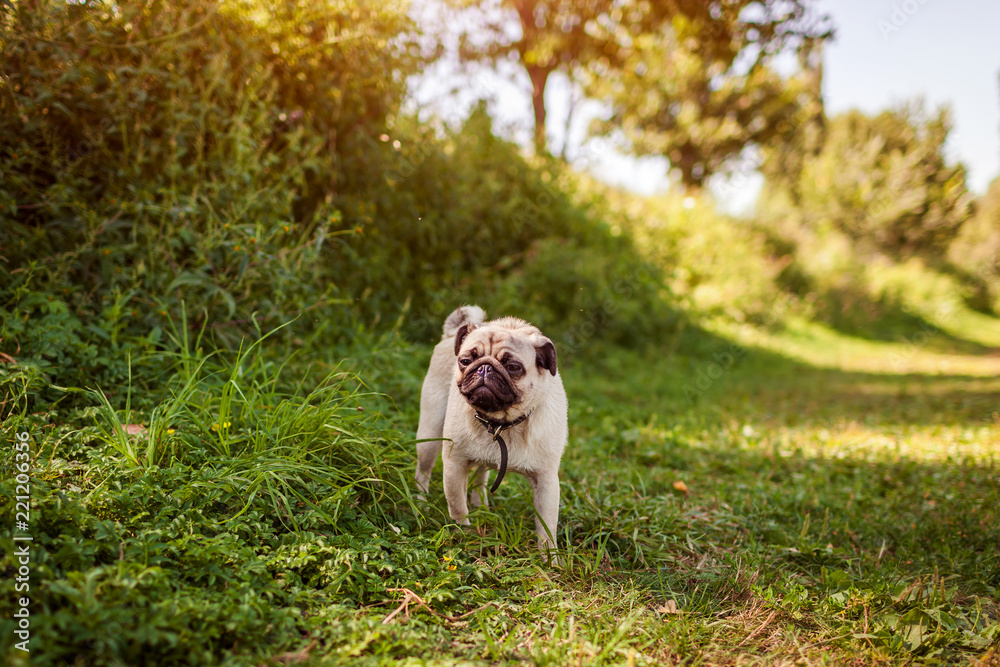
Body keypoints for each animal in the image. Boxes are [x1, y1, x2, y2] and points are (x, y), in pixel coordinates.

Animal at [416, 306, 572, 552]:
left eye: (513, 367)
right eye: (465, 360)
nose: (484, 368)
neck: (502, 423)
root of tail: (450, 334)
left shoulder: (546, 481)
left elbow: (547, 528)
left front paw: (550, 558)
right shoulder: (453, 466)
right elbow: (457, 506)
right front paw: (464, 535)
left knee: (481, 476)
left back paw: (481, 506)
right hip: (429, 437)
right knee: (423, 472)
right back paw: (421, 504)